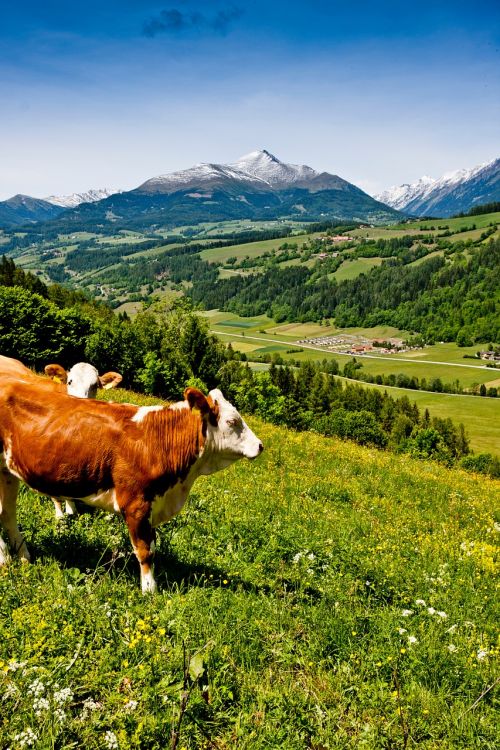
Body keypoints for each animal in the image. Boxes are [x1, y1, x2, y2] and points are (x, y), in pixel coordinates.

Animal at [0, 388, 264, 592]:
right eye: (232, 422)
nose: (260, 446)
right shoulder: (136, 504)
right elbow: (145, 551)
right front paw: (149, 591)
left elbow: (153, 547)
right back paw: (5, 560)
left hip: (8, 473)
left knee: (8, 515)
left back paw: (23, 557)